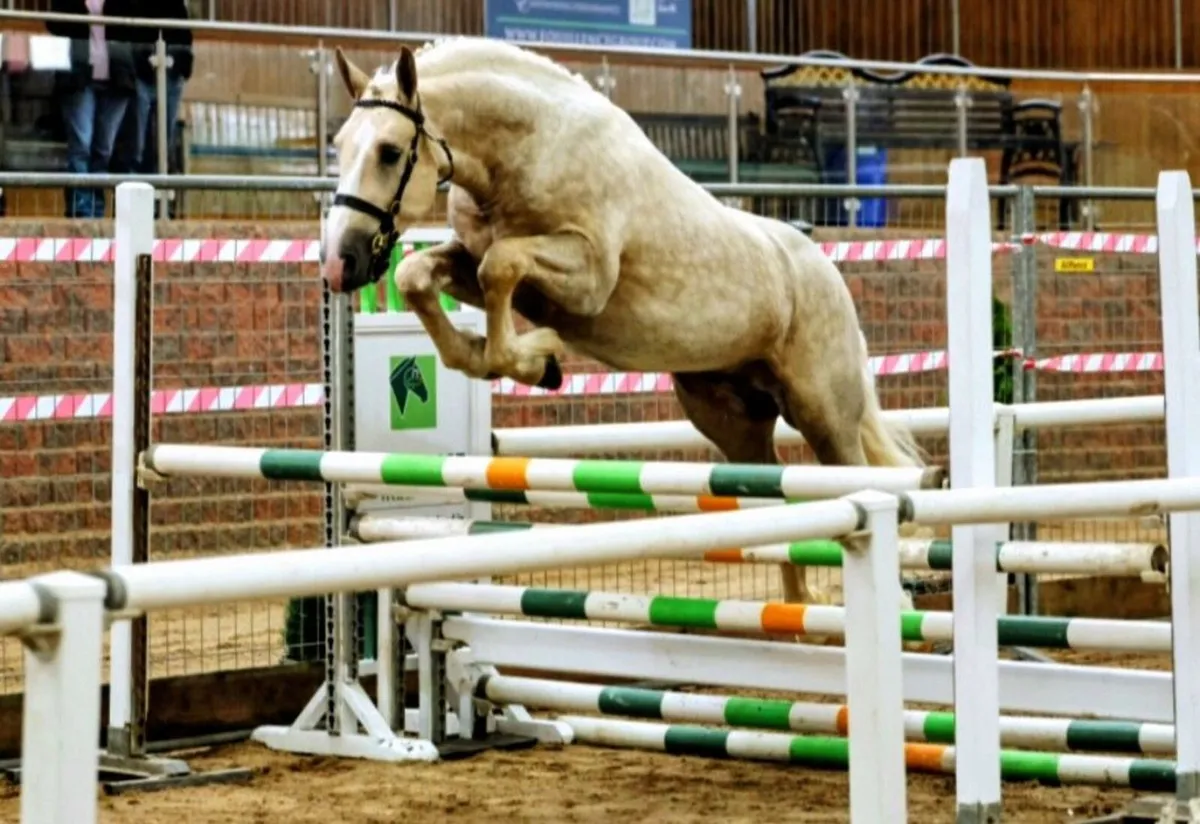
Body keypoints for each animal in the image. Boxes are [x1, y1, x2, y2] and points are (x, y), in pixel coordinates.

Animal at [320, 37, 928, 604]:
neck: (527, 149)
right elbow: (418, 275)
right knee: (771, 499)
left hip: (824, 414)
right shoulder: (476, 263)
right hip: (731, 421)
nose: (339, 263)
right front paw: (514, 361)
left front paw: (536, 360)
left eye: (390, 152)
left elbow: (502, 268)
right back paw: (799, 616)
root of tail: (825, 269)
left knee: (853, 477)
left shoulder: (586, 276)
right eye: (339, 146)